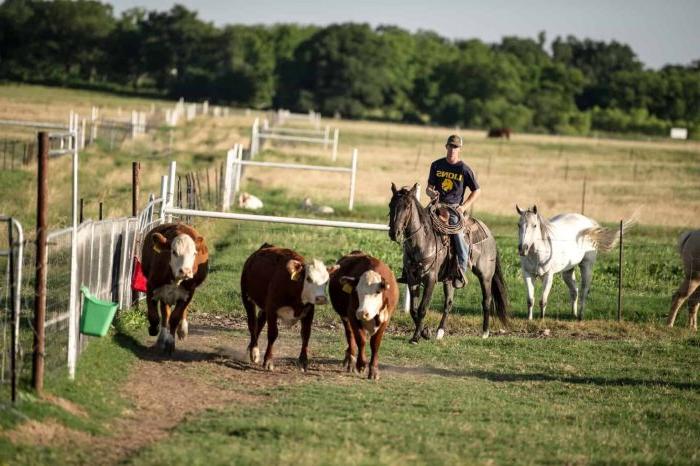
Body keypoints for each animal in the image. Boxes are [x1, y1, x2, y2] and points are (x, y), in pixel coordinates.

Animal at [141, 224, 208, 352]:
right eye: (174, 252)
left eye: (194, 253)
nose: (186, 271)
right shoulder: (151, 287)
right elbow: (154, 316)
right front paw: (154, 329)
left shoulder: (189, 292)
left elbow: (175, 318)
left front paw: (171, 343)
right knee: (165, 314)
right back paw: (161, 338)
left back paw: (182, 330)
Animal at [241, 244, 340, 372]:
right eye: (308, 279)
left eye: (327, 281)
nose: (321, 298)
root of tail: (266, 246)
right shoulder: (272, 309)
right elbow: (272, 334)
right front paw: (268, 360)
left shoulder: (309, 312)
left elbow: (306, 334)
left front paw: (303, 361)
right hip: (247, 297)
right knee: (252, 324)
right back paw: (254, 351)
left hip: (264, 306)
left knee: (260, 323)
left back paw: (250, 349)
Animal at [388, 183, 508, 342]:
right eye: (390, 204)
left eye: (407, 206)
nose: (393, 233)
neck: (422, 241)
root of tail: (489, 234)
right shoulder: (412, 279)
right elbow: (413, 310)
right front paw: (425, 332)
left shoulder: (430, 279)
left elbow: (422, 308)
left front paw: (416, 337)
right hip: (449, 279)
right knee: (448, 303)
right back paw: (440, 332)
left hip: (485, 276)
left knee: (486, 300)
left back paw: (485, 332)